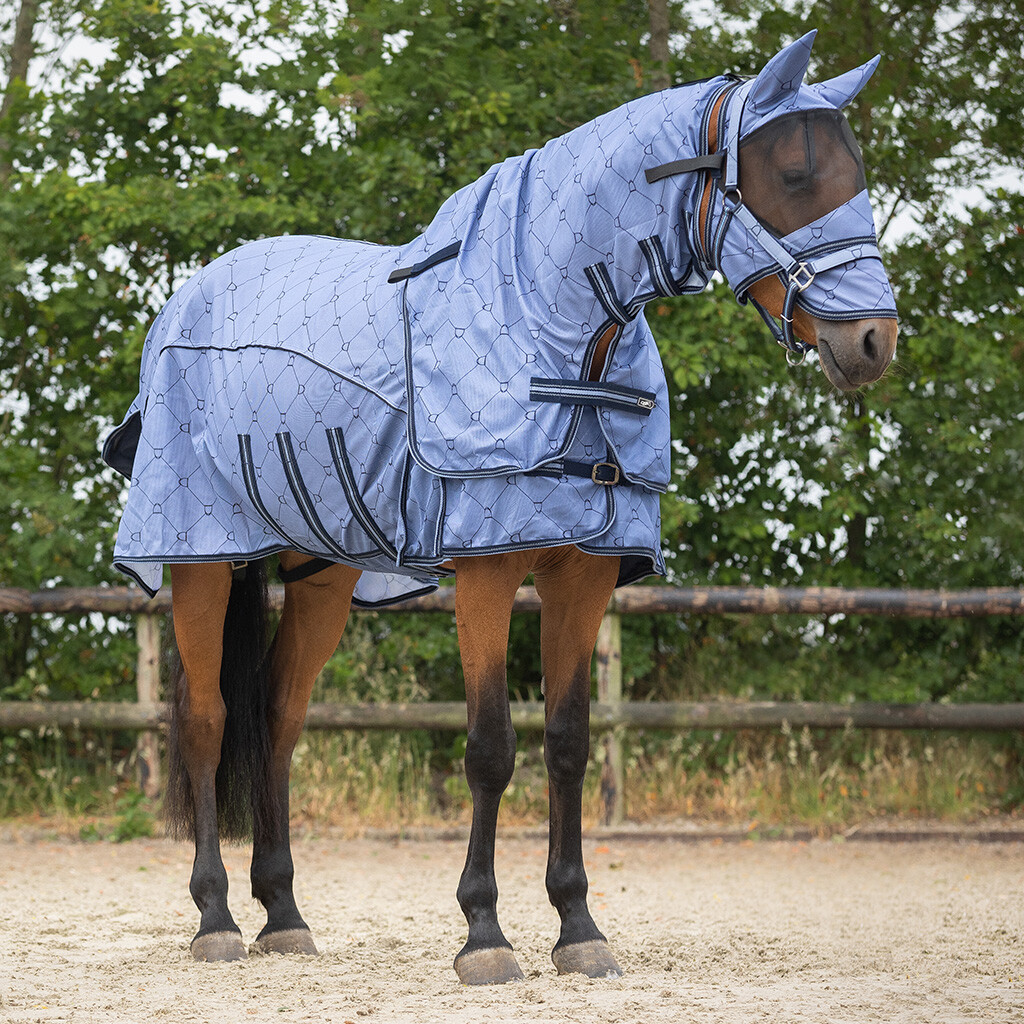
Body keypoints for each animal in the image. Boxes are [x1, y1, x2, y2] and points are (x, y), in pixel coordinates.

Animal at [103, 34, 897, 983]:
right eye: (794, 175)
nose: (874, 341)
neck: (559, 333)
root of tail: (187, 302)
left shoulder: (583, 574)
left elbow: (568, 743)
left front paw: (579, 928)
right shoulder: (486, 571)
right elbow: (489, 748)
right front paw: (484, 933)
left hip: (321, 574)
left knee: (278, 723)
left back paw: (285, 915)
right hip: (202, 556)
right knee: (208, 722)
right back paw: (217, 918)